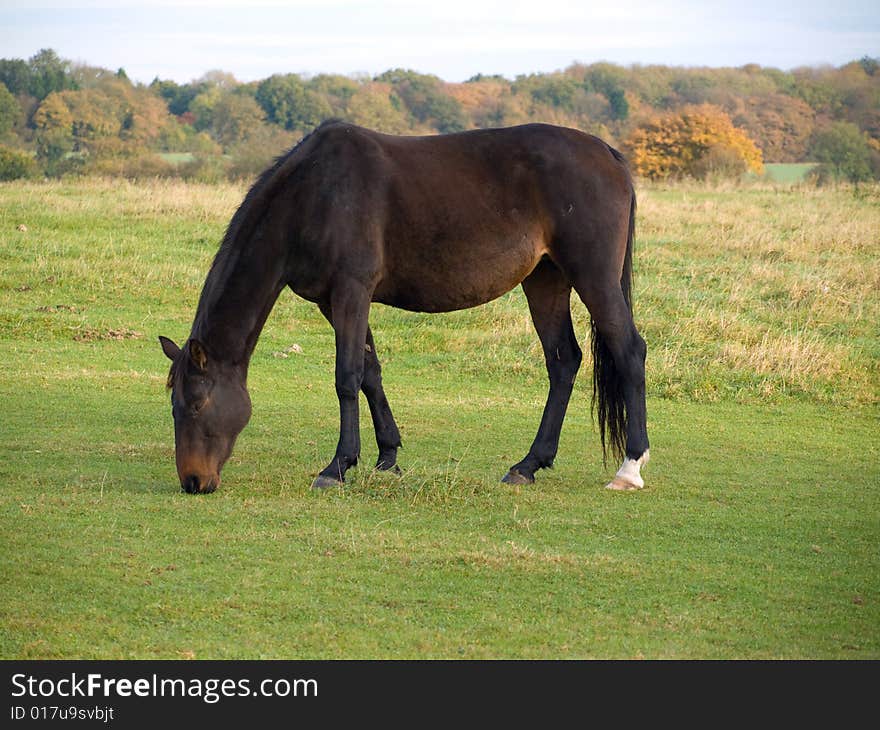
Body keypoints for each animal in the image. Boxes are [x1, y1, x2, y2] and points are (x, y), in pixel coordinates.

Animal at [160, 121, 648, 494]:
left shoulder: (351, 291)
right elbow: (370, 374)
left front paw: (337, 467)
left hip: (593, 277)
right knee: (563, 362)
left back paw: (629, 468)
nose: (193, 481)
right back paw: (527, 465)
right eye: (174, 407)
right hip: (545, 280)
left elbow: (346, 377)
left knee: (629, 352)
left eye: (198, 404)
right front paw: (387, 457)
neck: (315, 193)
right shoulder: (332, 301)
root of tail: (609, 155)